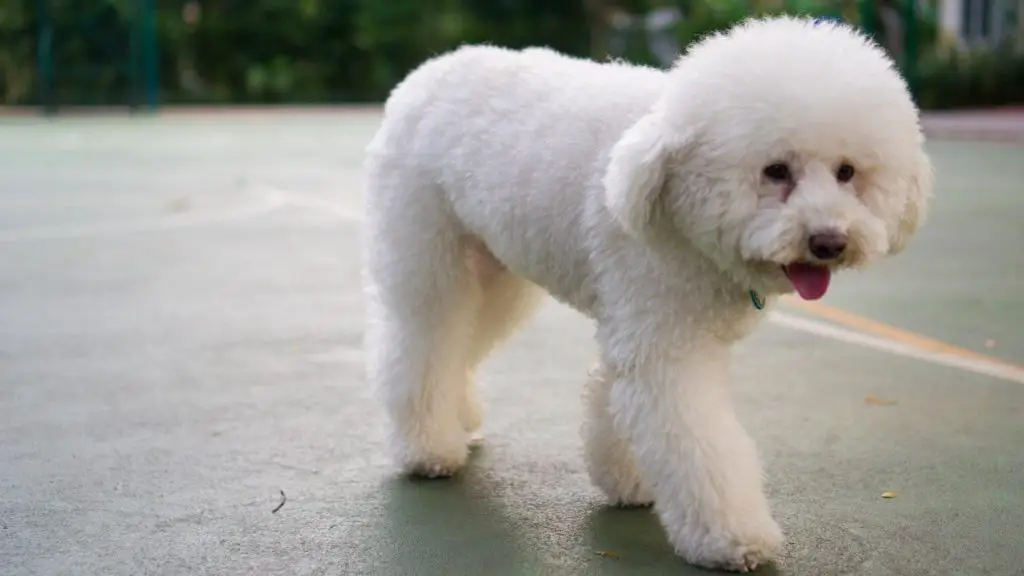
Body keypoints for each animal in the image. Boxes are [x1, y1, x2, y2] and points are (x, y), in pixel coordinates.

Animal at [364, 16, 933, 569]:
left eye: (847, 172)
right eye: (775, 170)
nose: (829, 241)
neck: (672, 198)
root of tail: (429, 72)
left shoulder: (641, 328)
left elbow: (612, 400)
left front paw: (630, 481)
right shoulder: (664, 347)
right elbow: (698, 445)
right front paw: (732, 538)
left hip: (497, 274)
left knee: (461, 344)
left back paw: (459, 418)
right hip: (431, 260)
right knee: (423, 344)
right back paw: (429, 448)